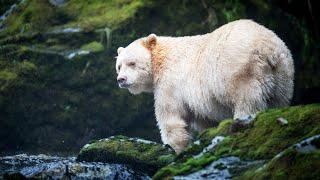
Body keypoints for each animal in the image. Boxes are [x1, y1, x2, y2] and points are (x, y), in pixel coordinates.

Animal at [115, 19, 296, 153]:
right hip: (282, 74)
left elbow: (171, 118)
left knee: (247, 102)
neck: (160, 60)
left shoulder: (170, 83)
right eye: (119, 66)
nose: (121, 79)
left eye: (132, 63)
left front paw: (175, 148)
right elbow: (206, 121)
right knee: (277, 100)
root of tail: (269, 49)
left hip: (242, 72)